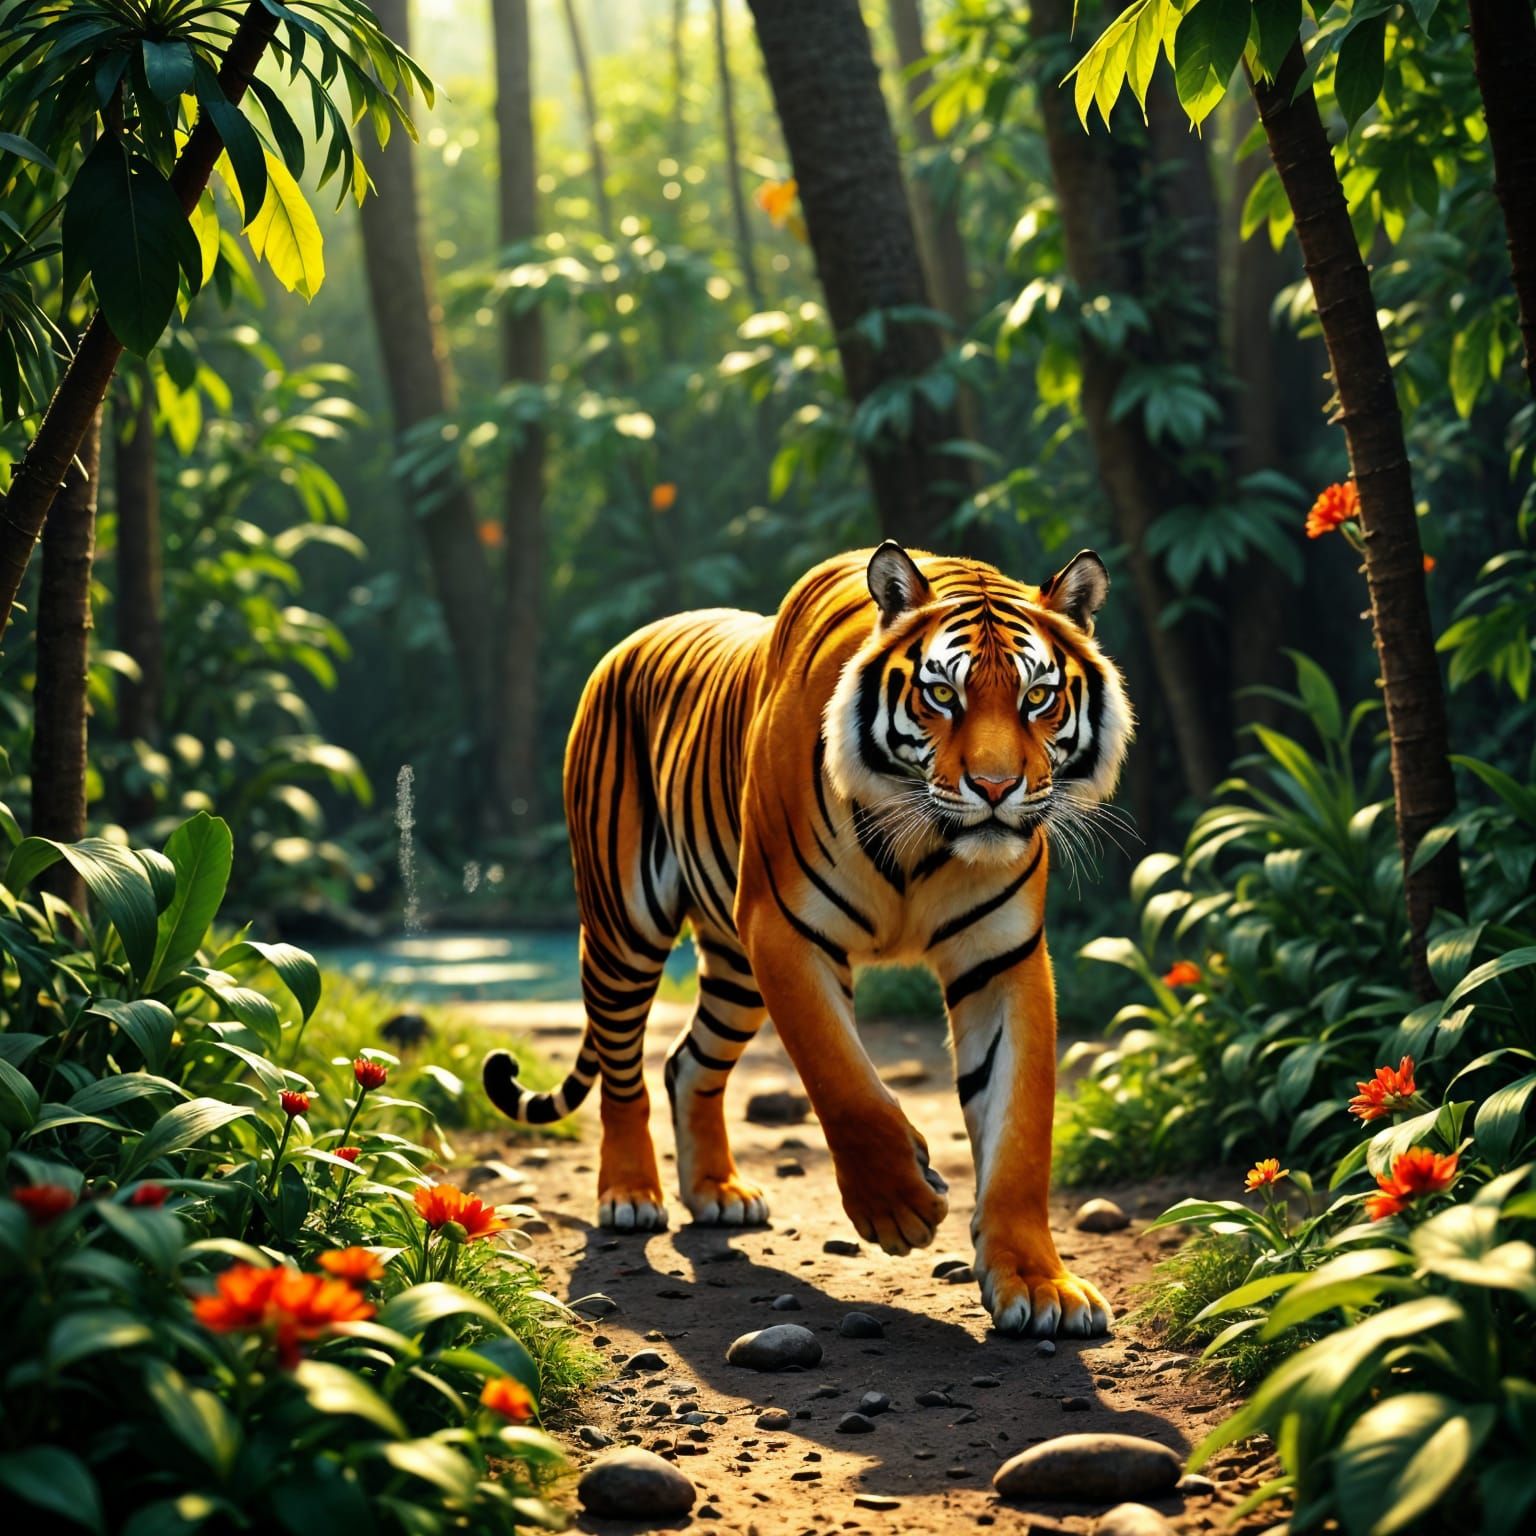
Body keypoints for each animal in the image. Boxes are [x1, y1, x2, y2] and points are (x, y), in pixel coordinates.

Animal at [483, 542, 1133, 1336]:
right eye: (941, 695)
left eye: (1037, 697)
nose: (994, 786)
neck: (925, 844)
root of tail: (629, 640)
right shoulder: (784, 931)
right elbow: (844, 1081)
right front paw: (900, 1209)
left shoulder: (1002, 958)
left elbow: (1020, 1130)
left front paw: (1039, 1286)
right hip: (623, 925)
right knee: (622, 1069)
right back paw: (631, 1195)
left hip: (732, 970)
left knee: (687, 1062)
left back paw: (719, 1192)